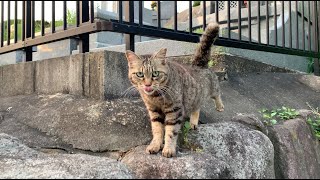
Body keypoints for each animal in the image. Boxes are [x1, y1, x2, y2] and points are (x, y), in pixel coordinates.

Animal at [124, 22, 224, 158]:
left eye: (155, 73)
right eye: (140, 74)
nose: (148, 85)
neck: (155, 97)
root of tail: (198, 64)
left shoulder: (174, 110)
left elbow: (171, 132)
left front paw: (168, 149)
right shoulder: (153, 111)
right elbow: (157, 130)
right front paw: (155, 145)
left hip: (212, 87)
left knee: (217, 93)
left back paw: (220, 106)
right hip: (195, 96)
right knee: (196, 107)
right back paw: (193, 123)